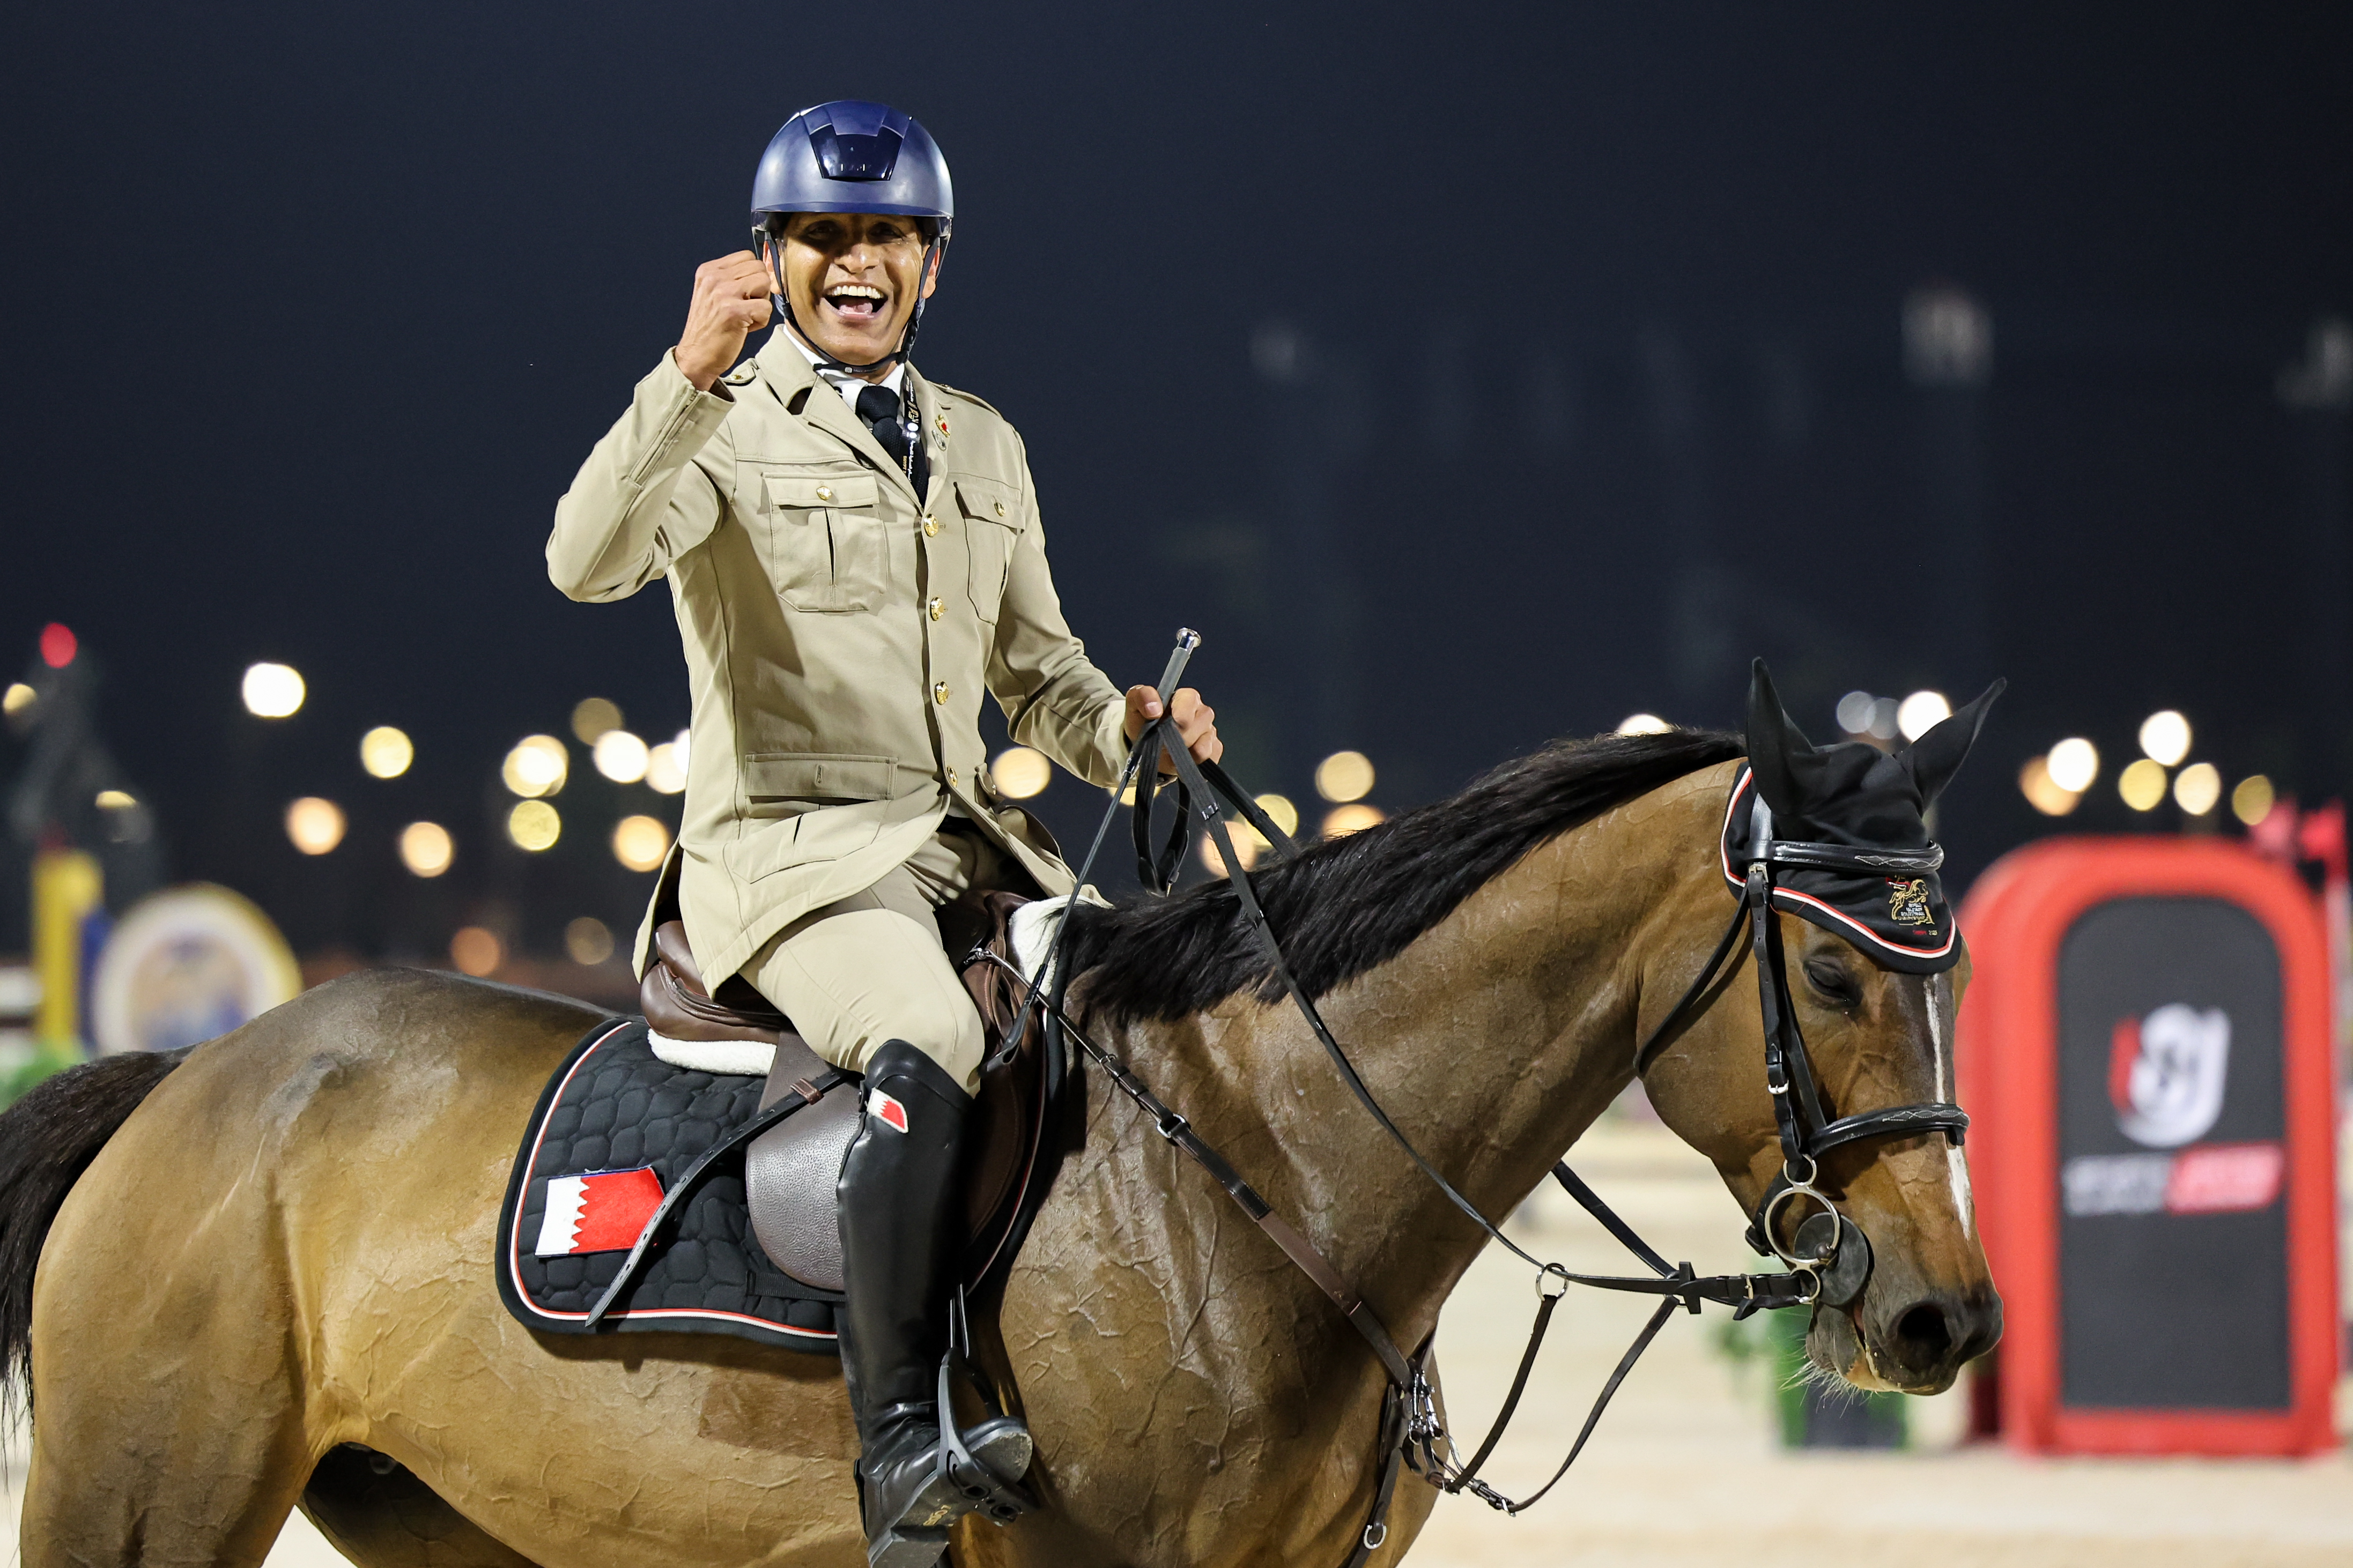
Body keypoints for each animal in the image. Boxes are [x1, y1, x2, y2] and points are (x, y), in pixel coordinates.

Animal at [0, 724, 1999, 1567]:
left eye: (1951, 967)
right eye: (1831, 967)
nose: (1941, 1318)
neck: (1270, 1174)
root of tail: (189, 1080)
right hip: (137, 1502)